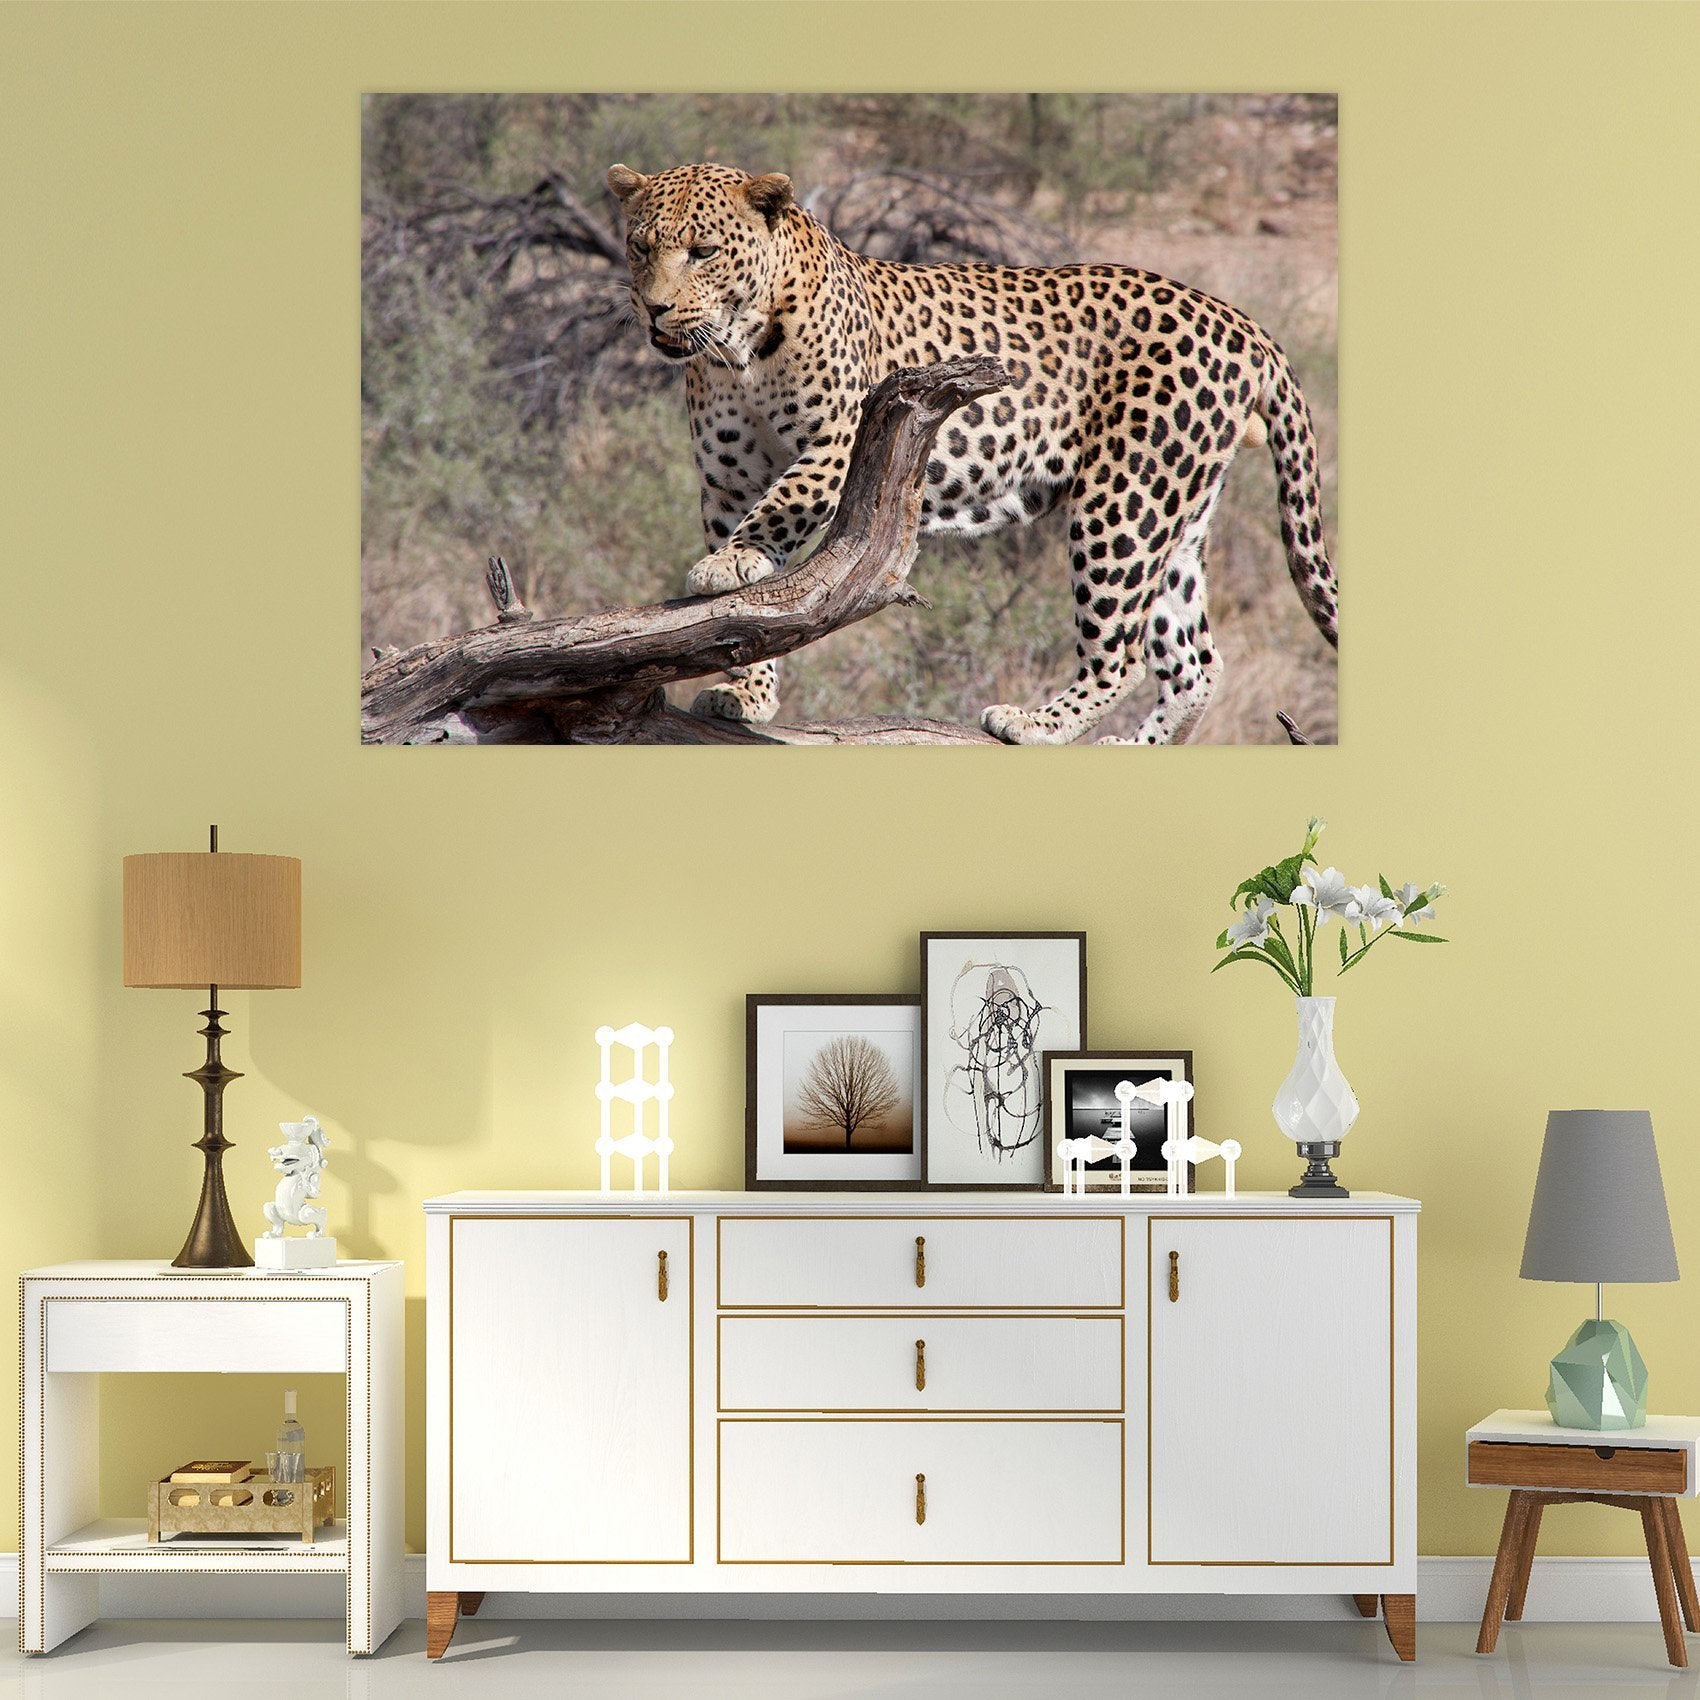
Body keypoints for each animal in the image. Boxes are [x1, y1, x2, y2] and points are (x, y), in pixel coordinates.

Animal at [608, 161, 1336, 745]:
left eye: (703, 251)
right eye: (640, 247)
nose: (655, 309)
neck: (737, 352)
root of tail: (1240, 321)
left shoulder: (840, 440)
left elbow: (783, 506)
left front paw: (728, 563)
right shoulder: (727, 481)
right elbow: (750, 612)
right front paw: (747, 691)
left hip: (1126, 500)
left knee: (1123, 652)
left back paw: (1036, 723)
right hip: (1177, 512)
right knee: (1195, 662)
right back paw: (1131, 746)